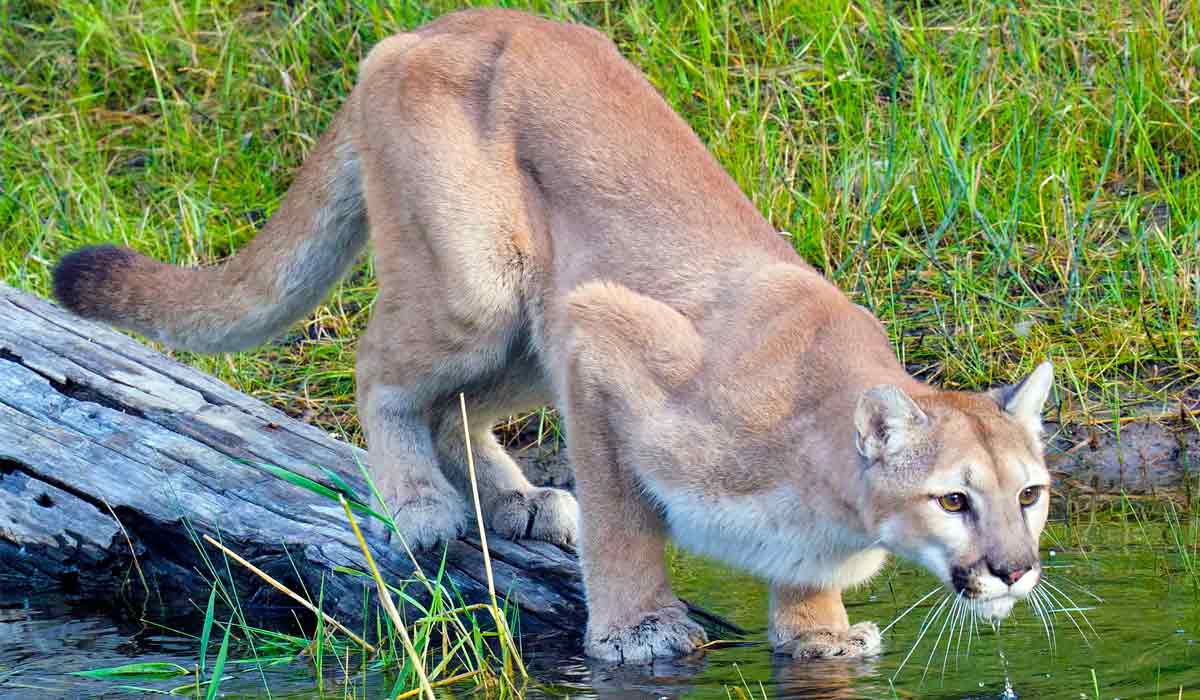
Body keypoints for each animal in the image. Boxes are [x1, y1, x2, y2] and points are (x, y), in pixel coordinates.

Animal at [51, 9, 1056, 662]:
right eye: (955, 500)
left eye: (1032, 494)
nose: (1013, 571)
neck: (832, 495)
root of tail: (441, 23)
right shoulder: (604, 337)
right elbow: (623, 517)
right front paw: (637, 631)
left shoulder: (582, 332)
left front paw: (819, 635)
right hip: (481, 287)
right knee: (377, 366)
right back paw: (421, 502)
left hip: (532, 324)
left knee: (457, 403)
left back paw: (516, 502)